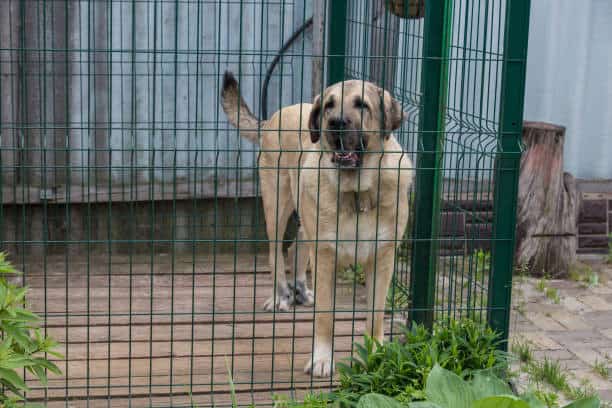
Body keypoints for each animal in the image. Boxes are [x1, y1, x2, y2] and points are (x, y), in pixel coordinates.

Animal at [220, 71, 412, 378]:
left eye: (362, 105)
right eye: (329, 106)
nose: (336, 123)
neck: (357, 192)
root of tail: (275, 115)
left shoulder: (382, 258)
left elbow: (375, 315)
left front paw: (374, 355)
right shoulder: (325, 255)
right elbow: (325, 317)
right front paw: (322, 359)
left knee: (296, 247)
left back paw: (300, 289)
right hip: (277, 205)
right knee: (276, 253)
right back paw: (281, 296)